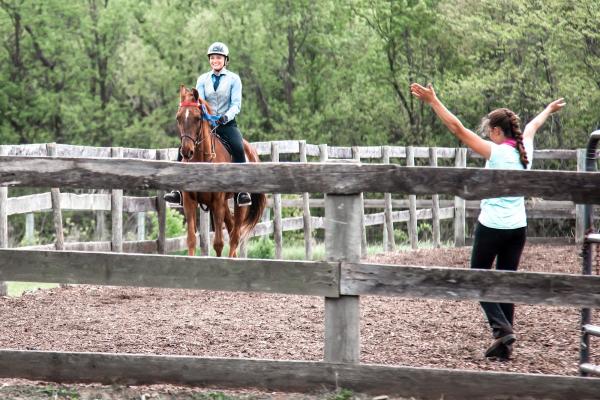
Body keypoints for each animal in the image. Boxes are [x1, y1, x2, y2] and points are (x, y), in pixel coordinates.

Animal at [175, 85, 266, 258]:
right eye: (178, 118)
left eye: (197, 118)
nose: (186, 151)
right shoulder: (190, 202)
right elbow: (191, 239)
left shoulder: (217, 203)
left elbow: (218, 243)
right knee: (231, 229)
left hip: (238, 205)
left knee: (235, 236)